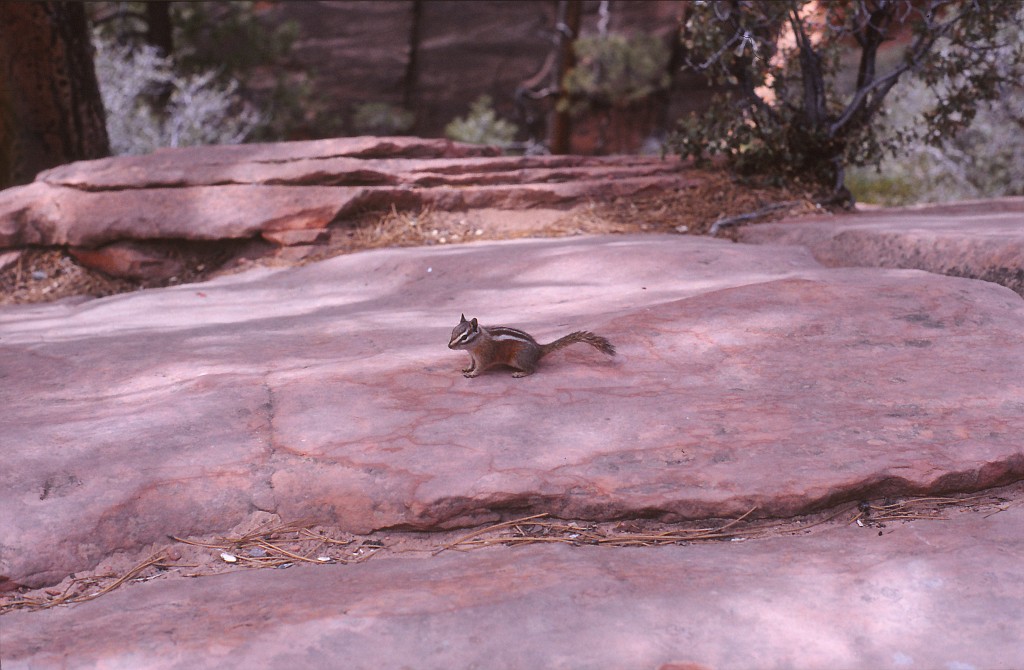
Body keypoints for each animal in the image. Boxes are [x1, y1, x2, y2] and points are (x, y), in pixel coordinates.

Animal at [448, 313, 616, 378]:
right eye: (453, 331)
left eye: (464, 337)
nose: (449, 346)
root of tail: (539, 348)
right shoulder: (472, 356)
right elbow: (472, 363)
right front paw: (467, 368)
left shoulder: (485, 356)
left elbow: (480, 367)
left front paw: (472, 374)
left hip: (518, 358)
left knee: (533, 369)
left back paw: (520, 373)